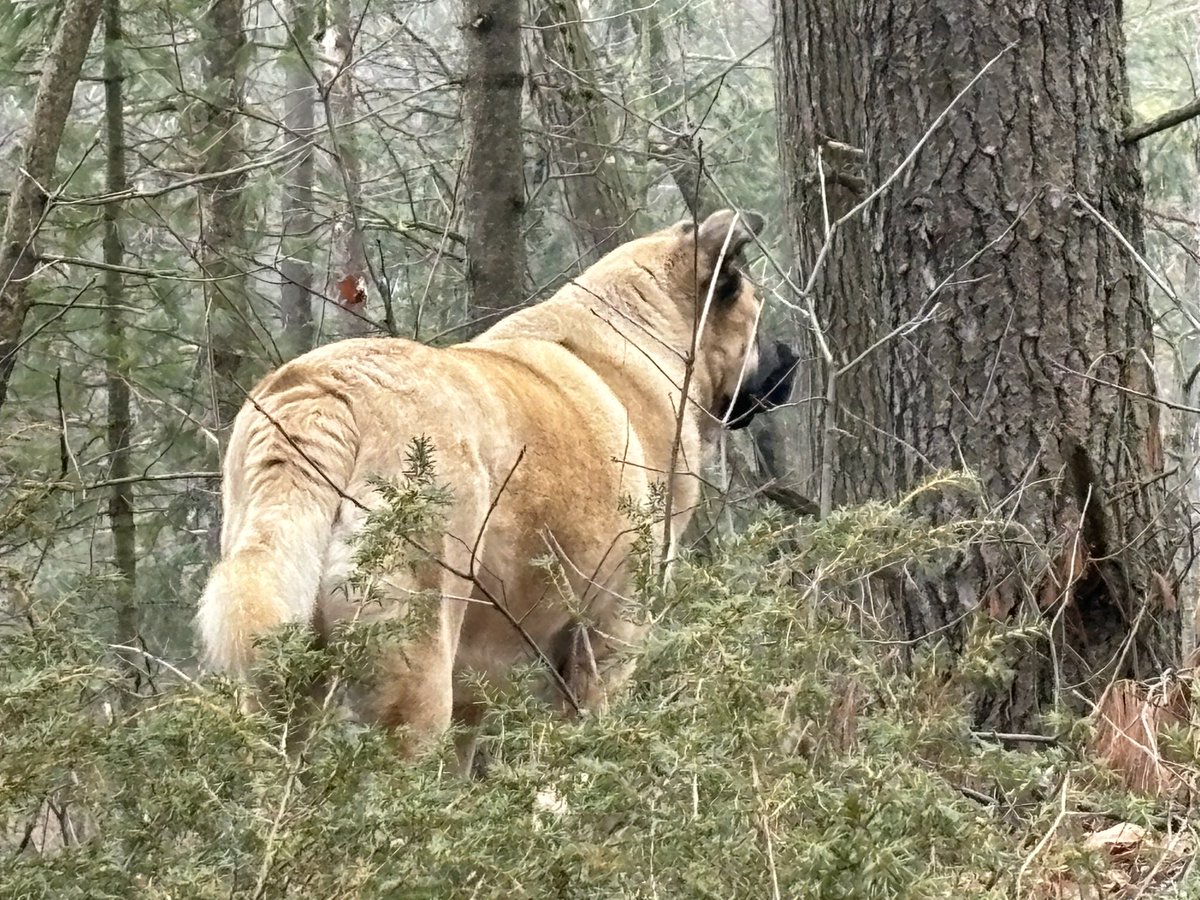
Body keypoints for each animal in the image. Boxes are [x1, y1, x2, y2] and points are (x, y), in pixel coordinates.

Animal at [196, 207, 796, 772]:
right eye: (757, 312)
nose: (793, 359)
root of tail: (326, 394)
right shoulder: (610, 630)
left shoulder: (480, 674)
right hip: (415, 666)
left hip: (284, 677)